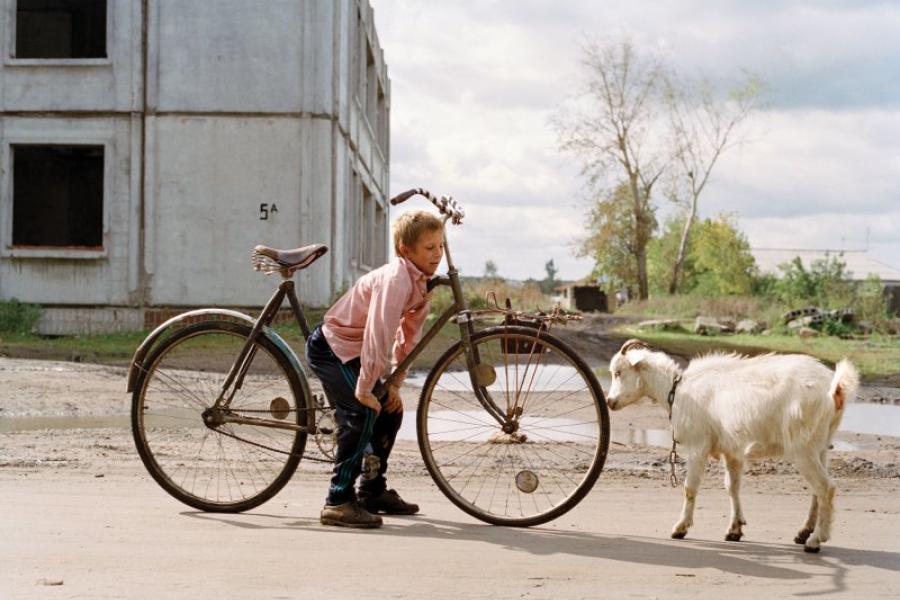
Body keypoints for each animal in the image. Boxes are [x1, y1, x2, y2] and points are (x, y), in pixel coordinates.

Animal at [604, 338, 856, 552]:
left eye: (618, 372)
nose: (609, 402)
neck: (675, 389)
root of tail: (834, 388)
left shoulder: (699, 445)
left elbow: (690, 487)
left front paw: (680, 528)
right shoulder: (732, 451)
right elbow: (732, 487)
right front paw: (735, 530)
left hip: (802, 446)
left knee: (826, 488)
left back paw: (815, 540)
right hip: (820, 445)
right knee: (817, 490)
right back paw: (804, 532)